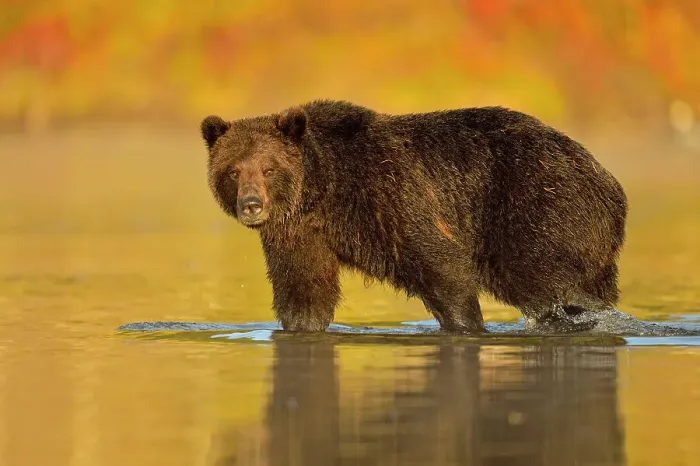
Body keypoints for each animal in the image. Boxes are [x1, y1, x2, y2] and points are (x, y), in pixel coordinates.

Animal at [200, 100, 628, 333]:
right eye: (234, 170)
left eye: (269, 168)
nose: (251, 205)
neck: (325, 192)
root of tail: (609, 182)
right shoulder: (300, 234)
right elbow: (304, 293)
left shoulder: (392, 195)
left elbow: (441, 268)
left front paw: (466, 324)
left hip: (537, 206)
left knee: (549, 283)